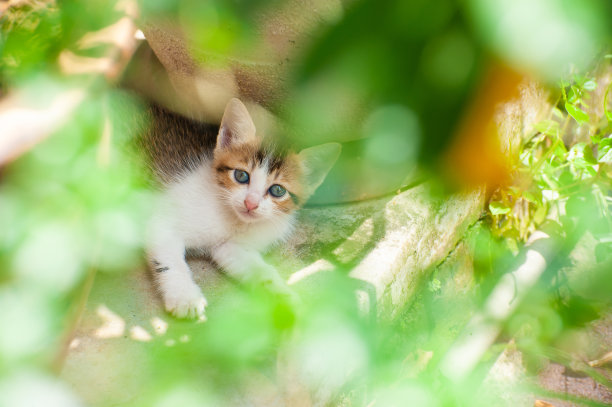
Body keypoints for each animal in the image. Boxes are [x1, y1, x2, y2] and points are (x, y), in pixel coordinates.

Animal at [145, 99, 340, 318]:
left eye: (277, 190)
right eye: (241, 176)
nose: (250, 203)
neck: (231, 218)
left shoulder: (231, 248)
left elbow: (260, 270)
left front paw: (283, 296)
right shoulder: (160, 220)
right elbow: (171, 262)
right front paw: (185, 297)